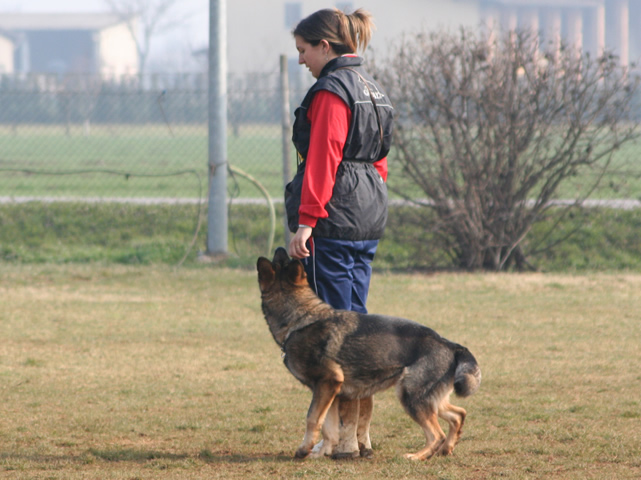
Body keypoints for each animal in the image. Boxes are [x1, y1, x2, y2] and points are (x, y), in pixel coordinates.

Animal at [255, 249, 480, 460]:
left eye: (278, 261)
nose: (282, 248)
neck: (301, 319)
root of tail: (450, 344)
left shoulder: (327, 383)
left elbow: (312, 418)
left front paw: (304, 450)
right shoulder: (330, 391)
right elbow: (329, 428)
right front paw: (321, 453)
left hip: (410, 396)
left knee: (436, 434)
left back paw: (417, 456)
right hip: (431, 399)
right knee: (459, 414)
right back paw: (447, 448)